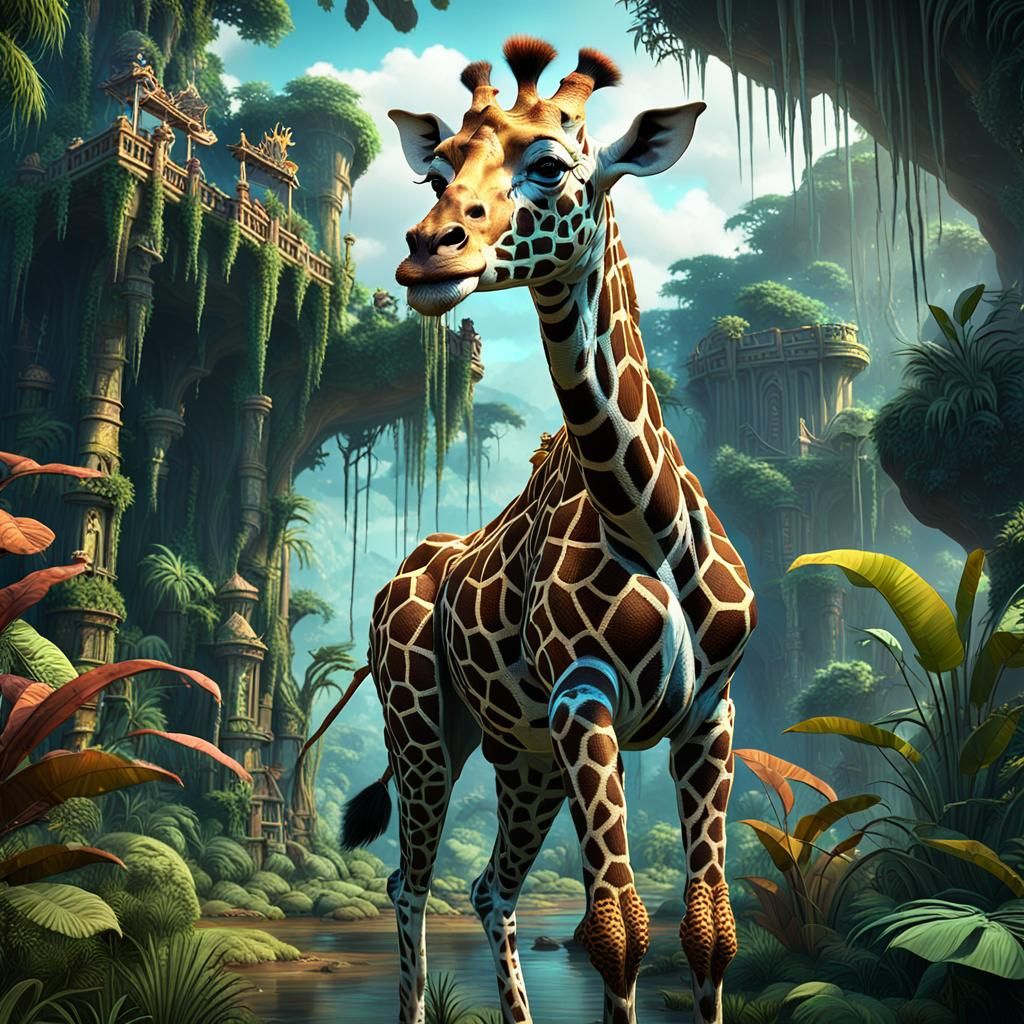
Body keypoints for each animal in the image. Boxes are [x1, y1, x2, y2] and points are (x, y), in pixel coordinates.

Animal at [330, 37, 757, 1024]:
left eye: (552, 166)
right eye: (438, 170)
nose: (426, 253)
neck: (647, 521)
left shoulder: (708, 714)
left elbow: (707, 931)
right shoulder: (584, 699)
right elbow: (618, 930)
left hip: (520, 757)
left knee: (490, 888)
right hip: (424, 731)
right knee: (410, 885)